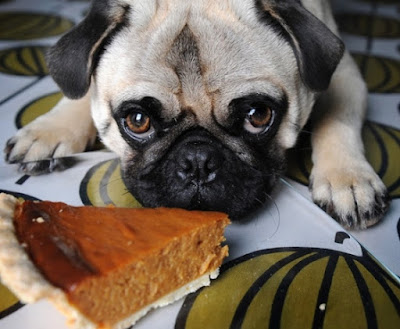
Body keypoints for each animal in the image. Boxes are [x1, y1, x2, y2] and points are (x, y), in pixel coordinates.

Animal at [3, 0, 390, 227]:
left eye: (258, 115)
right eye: (137, 121)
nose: (198, 160)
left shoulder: (342, 73)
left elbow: (337, 120)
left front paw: (346, 178)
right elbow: (80, 87)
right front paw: (51, 130)